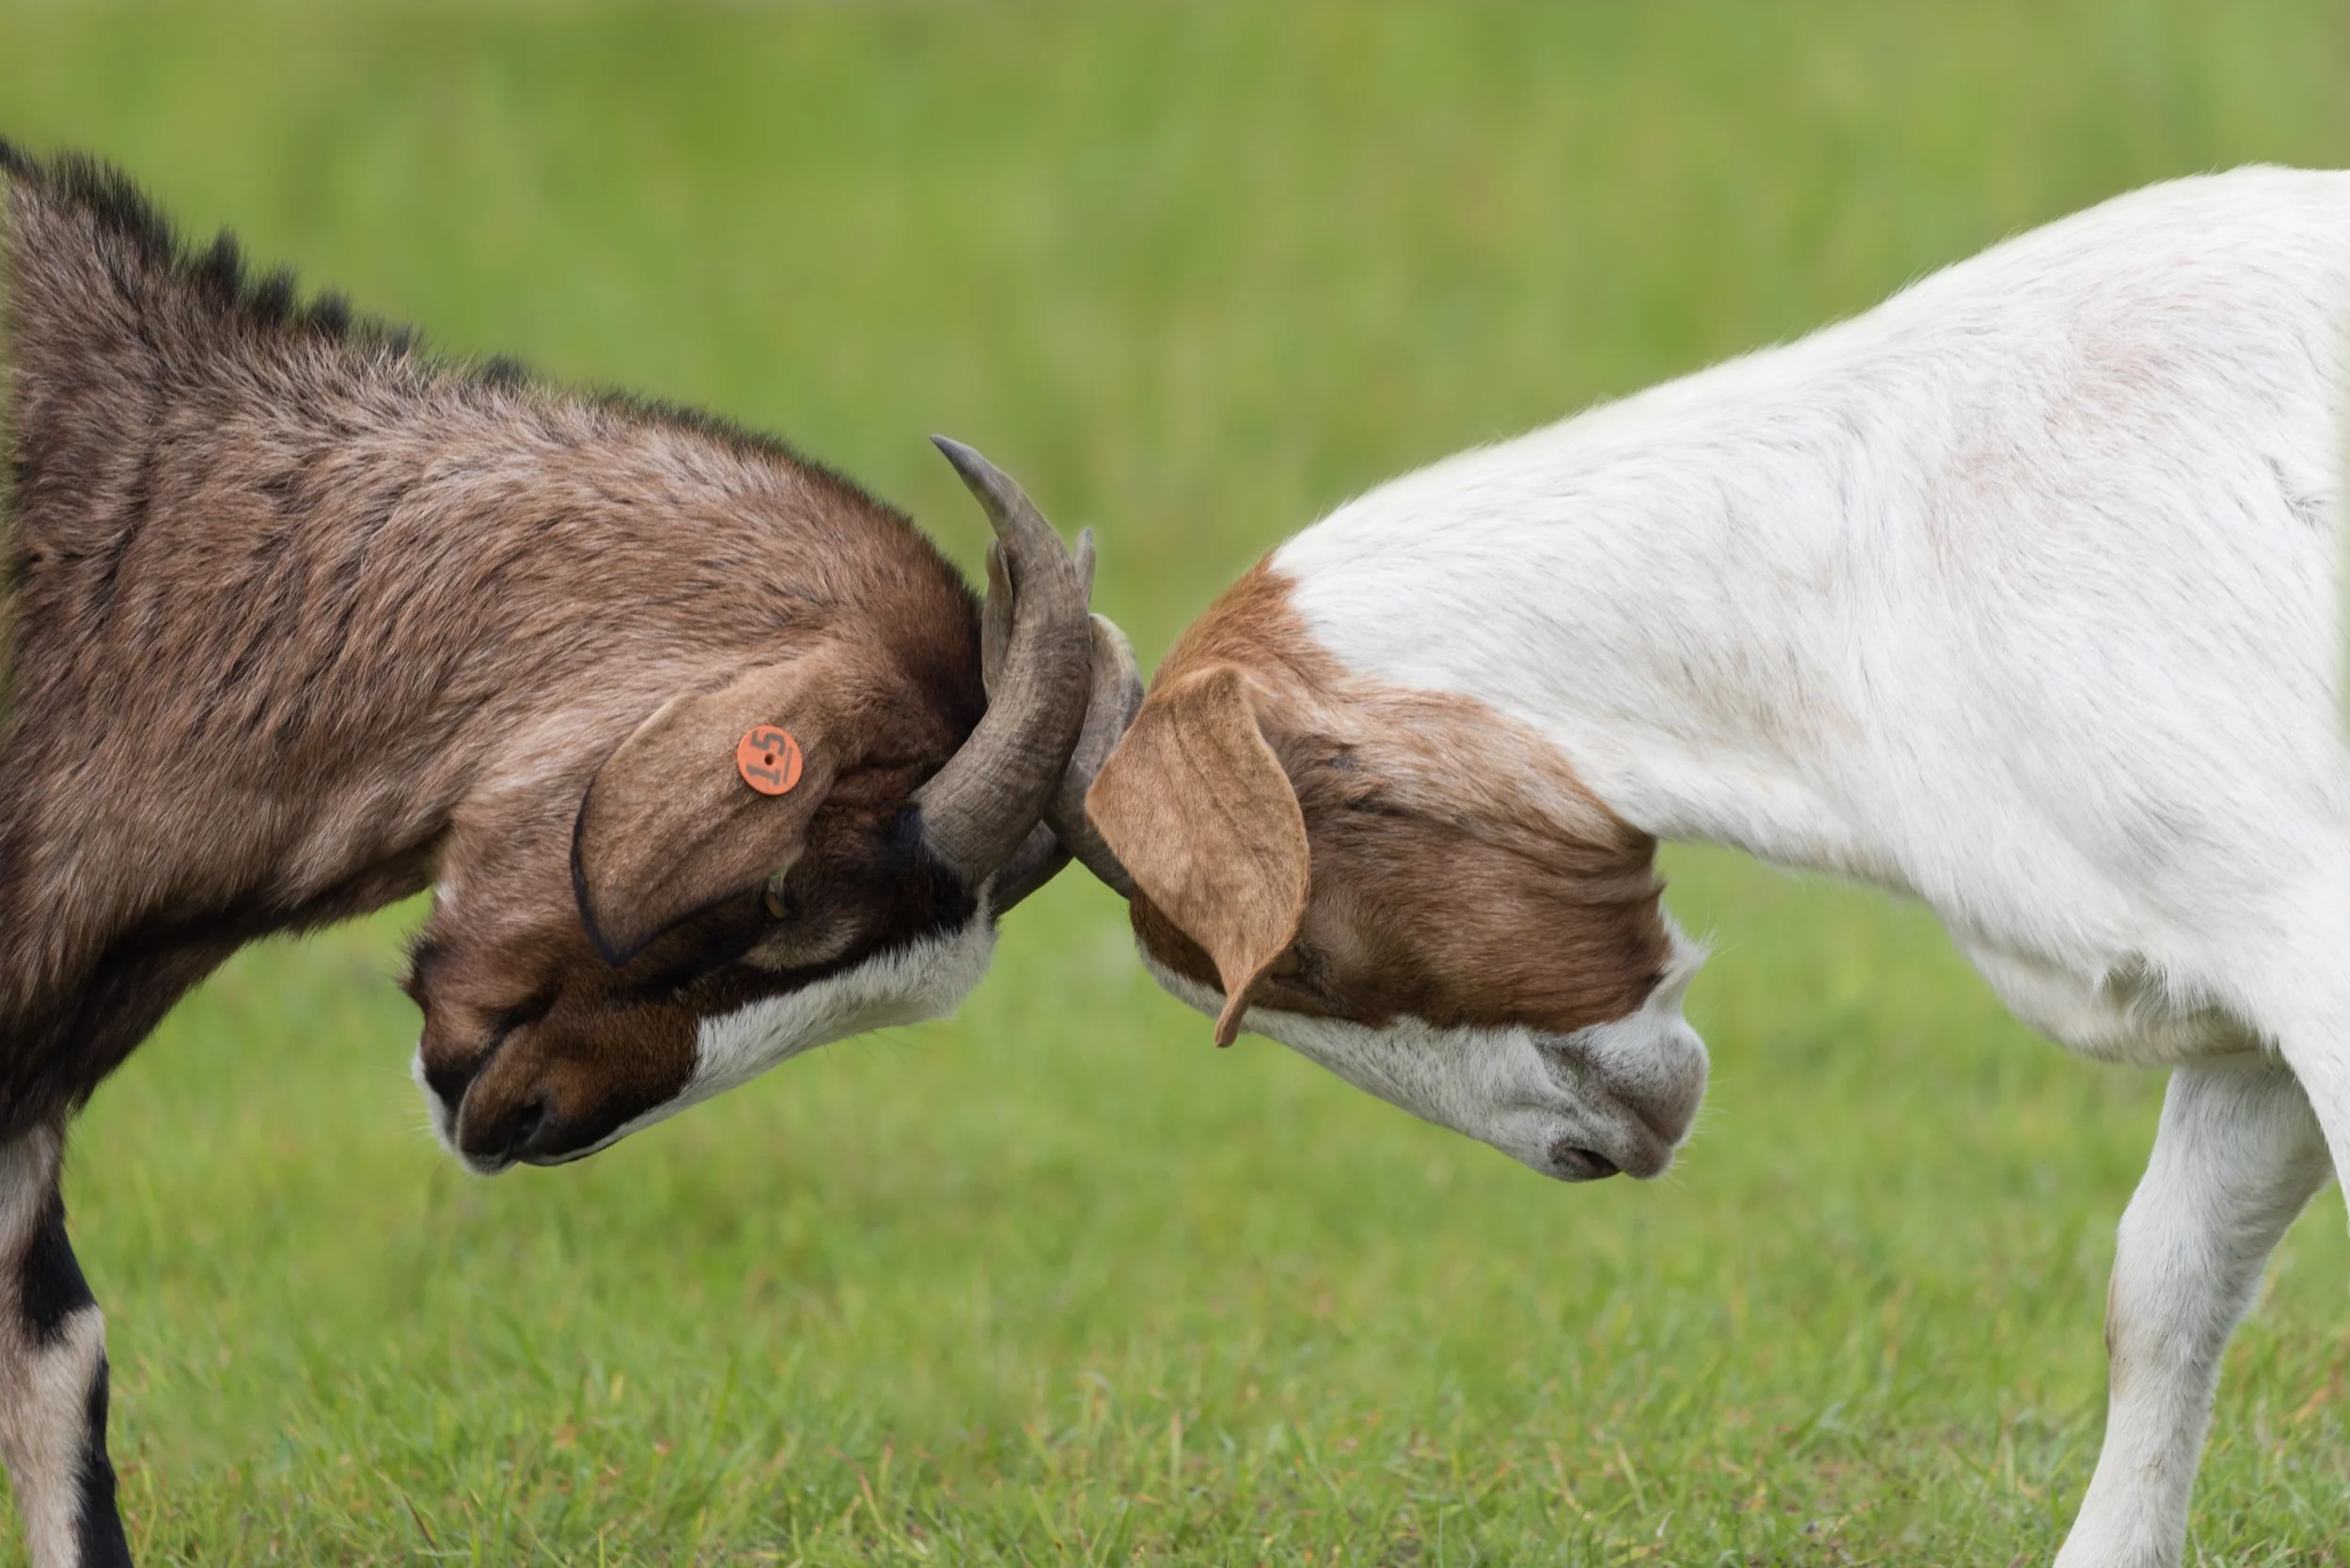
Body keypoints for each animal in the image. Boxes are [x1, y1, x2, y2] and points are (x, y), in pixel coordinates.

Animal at [1055, 169, 2350, 1565]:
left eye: (1295, 955)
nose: (1588, 1148)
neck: (1888, 533)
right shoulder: (2236, 1000)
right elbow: (2160, 1288)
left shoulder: (2307, 929)